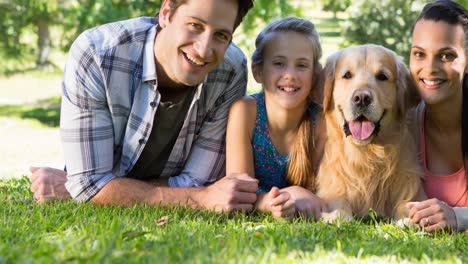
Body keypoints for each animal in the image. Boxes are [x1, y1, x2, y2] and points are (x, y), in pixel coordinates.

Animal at [318, 44, 424, 221]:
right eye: (347, 75)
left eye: (382, 76)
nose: (361, 98)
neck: (367, 153)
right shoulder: (333, 188)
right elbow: (339, 205)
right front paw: (337, 217)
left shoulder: (409, 183)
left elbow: (407, 204)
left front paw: (408, 219)